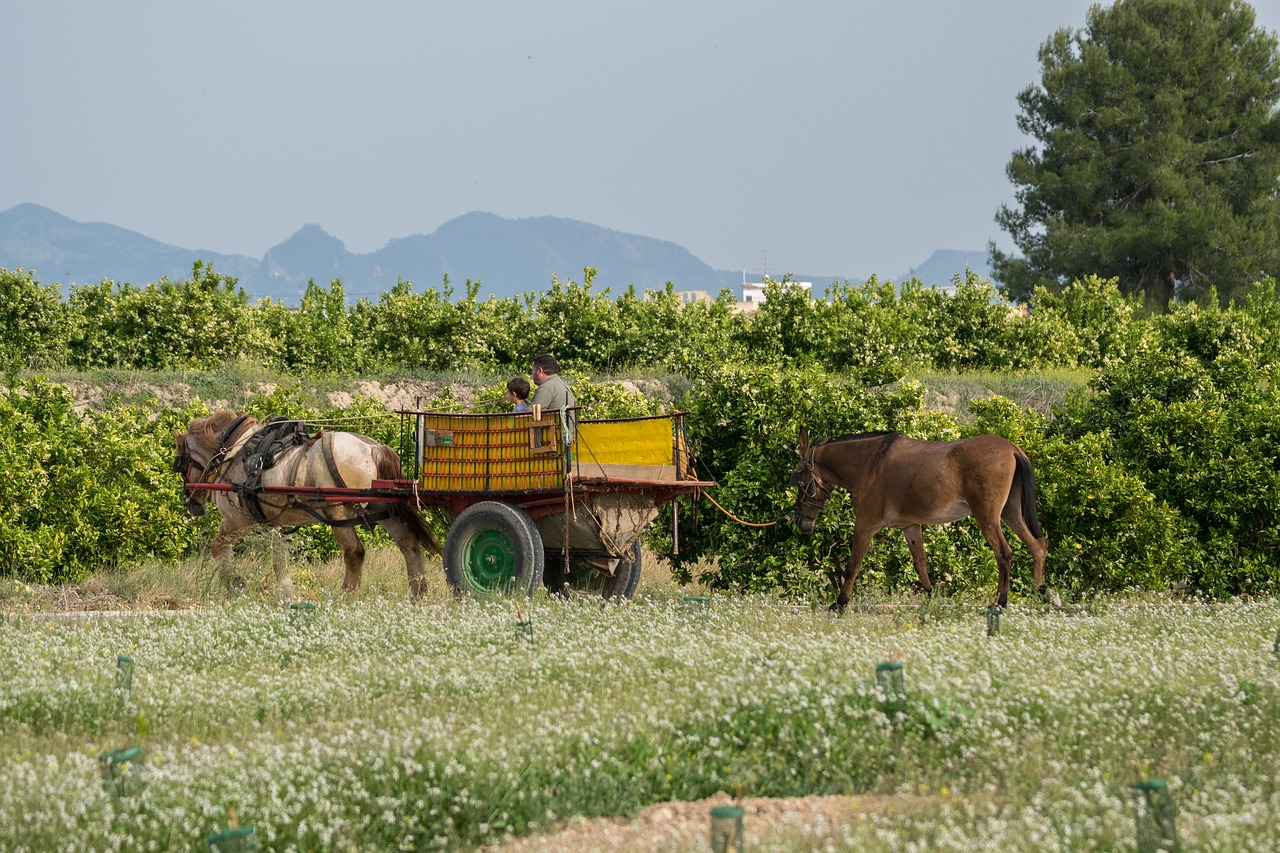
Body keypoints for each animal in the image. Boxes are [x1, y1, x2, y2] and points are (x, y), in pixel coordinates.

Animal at [174, 409, 440, 596]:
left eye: (182, 464)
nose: (192, 504)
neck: (234, 452)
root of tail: (372, 449)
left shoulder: (237, 520)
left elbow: (217, 547)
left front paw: (234, 583)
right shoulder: (272, 525)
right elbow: (279, 560)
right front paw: (285, 591)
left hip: (339, 513)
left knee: (354, 552)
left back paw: (346, 597)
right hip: (383, 507)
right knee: (408, 543)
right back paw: (418, 592)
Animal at [788, 427, 1049, 607]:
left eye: (800, 480)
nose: (802, 521)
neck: (870, 461)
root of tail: (1012, 448)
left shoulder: (865, 524)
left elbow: (853, 565)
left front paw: (840, 603)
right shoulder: (911, 526)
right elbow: (920, 563)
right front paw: (930, 599)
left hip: (988, 516)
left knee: (1004, 553)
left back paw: (1001, 602)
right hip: (1010, 512)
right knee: (1037, 545)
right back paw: (1043, 594)